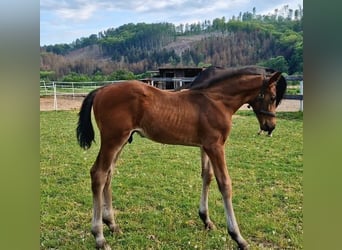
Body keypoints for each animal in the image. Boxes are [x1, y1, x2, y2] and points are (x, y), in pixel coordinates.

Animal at [77, 65, 286, 249]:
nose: (270, 126)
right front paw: (238, 237)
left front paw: (206, 220)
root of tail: (102, 89)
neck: (217, 101)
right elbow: (225, 184)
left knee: (109, 174)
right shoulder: (216, 146)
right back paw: (99, 237)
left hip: (120, 141)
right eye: (273, 97)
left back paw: (112, 225)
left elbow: (207, 176)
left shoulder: (206, 146)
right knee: (99, 174)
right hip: (113, 140)